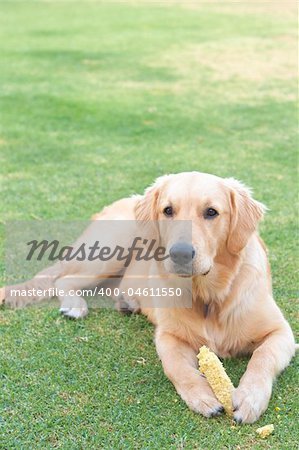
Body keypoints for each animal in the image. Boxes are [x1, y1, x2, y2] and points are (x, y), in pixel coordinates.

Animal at [1, 171, 296, 424]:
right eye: (168, 210)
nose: (180, 253)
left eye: (211, 212)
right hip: (111, 250)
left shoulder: (282, 333)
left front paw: (249, 398)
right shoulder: (168, 336)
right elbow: (176, 367)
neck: (208, 296)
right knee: (63, 280)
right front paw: (202, 396)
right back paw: (75, 305)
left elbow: (263, 357)